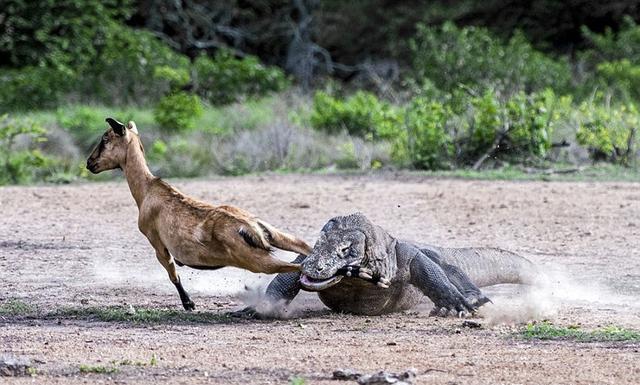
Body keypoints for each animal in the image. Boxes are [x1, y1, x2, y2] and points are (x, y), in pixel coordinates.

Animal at [87, 116, 312, 308]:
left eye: (105, 138)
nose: (89, 163)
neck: (147, 190)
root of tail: (251, 227)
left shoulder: (157, 242)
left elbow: (173, 273)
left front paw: (189, 303)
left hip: (256, 261)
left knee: (300, 267)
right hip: (274, 235)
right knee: (304, 247)